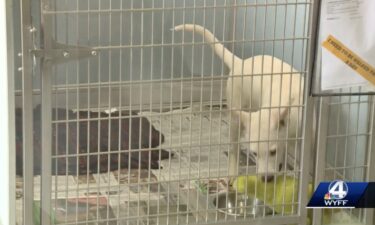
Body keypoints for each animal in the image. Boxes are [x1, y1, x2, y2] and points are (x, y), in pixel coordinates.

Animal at [176, 24, 306, 181]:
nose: (266, 179)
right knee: (233, 149)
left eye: (273, 152)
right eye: (254, 153)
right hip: (236, 117)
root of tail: (240, 62)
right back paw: (232, 174)